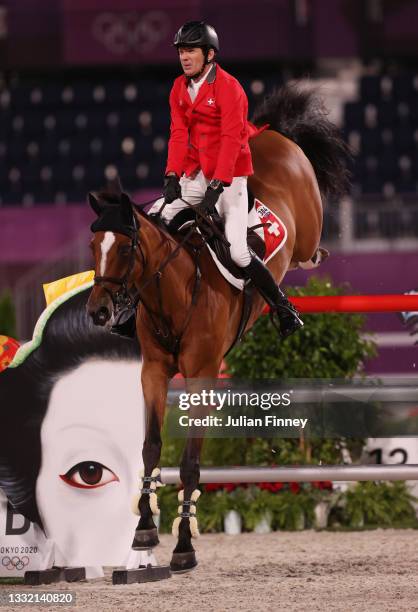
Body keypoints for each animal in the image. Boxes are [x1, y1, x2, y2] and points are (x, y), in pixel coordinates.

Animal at [87, 83, 350, 572]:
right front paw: (144, 529)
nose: (98, 312)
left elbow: (191, 462)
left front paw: (184, 545)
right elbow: (151, 447)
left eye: (126, 249)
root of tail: (268, 133)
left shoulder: (202, 377)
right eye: (94, 246)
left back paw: (294, 296)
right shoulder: (153, 373)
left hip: (304, 223)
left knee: (303, 250)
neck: (173, 294)